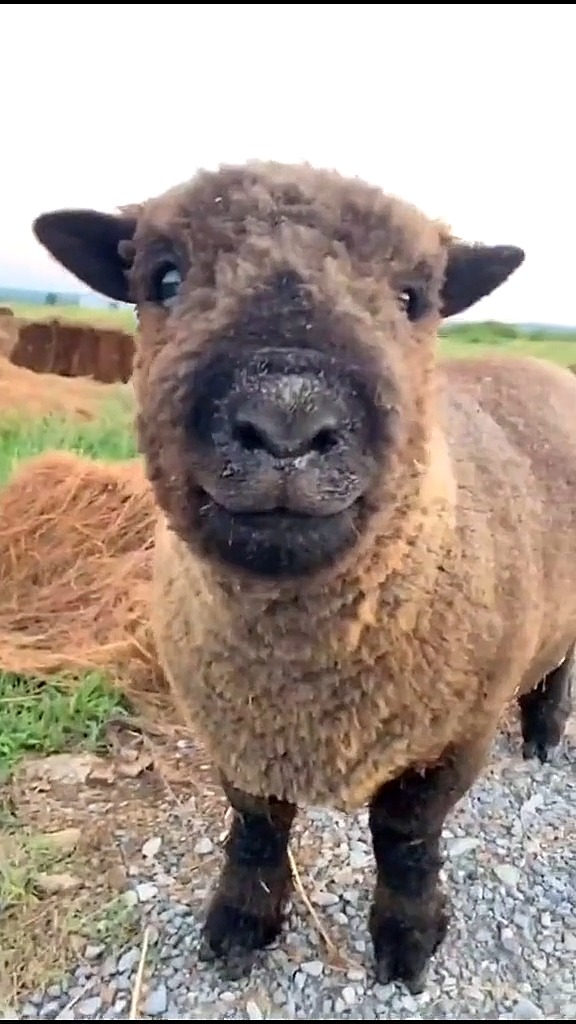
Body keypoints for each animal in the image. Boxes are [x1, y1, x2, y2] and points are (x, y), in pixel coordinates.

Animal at [32, 161, 573, 991]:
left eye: (415, 298)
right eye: (164, 277)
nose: (287, 423)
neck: (303, 683)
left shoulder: (456, 734)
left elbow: (406, 837)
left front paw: (407, 941)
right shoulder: (234, 726)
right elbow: (258, 824)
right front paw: (240, 923)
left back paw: (545, 733)